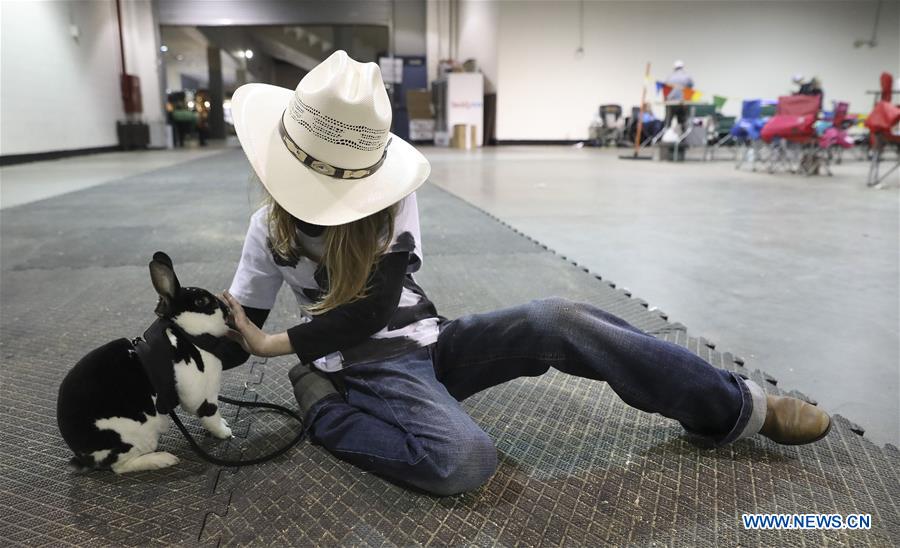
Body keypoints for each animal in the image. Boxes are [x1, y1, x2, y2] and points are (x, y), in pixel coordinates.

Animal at [57, 255, 236, 474]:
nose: (227, 309)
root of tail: (83, 455)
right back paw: (163, 459)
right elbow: (211, 417)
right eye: (202, 301)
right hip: (138, 437)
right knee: (121, 467)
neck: (185, 333)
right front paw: (225, 432)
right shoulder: (203, 397)